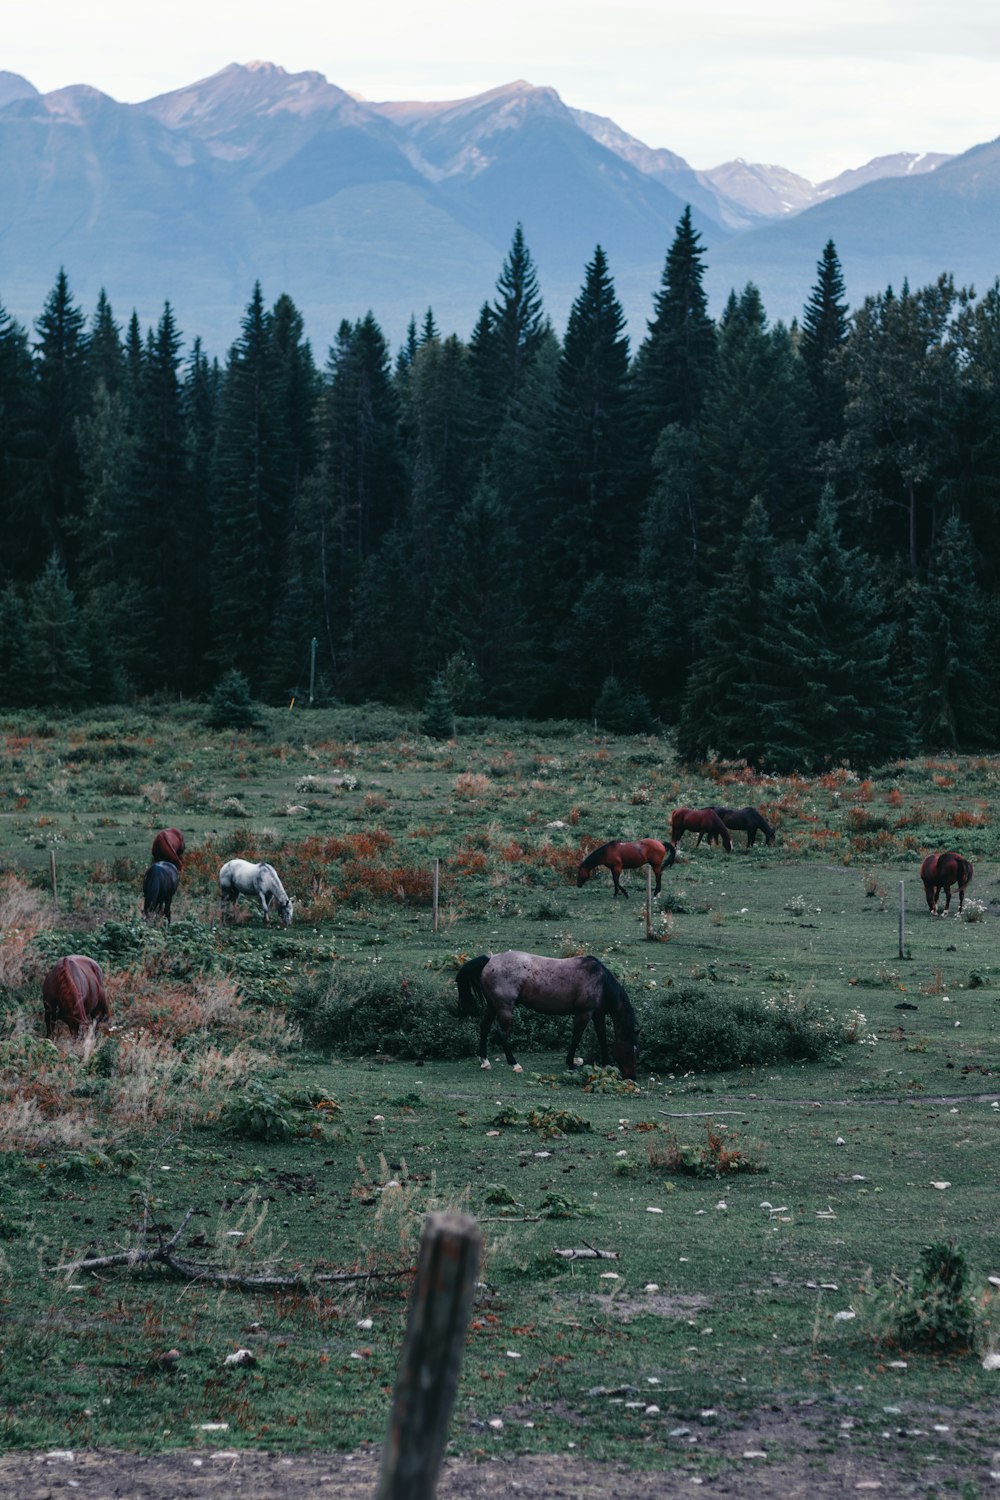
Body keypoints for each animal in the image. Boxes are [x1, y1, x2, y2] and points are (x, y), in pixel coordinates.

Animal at [455, 948, 638, 1080]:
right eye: (629, 1051)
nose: (632, 1077)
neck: (600, 981)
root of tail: (490, 960)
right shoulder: (584, 1013)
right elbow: (576, 1036)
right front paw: (571, 1063)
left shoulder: (597, 1014)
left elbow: (602, 1037)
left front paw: (606, 1064)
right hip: (504, 1008)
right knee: (503, 1034)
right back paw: (515, 1064)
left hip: (493, 1007)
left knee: (484, 1027)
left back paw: (485, 1061)